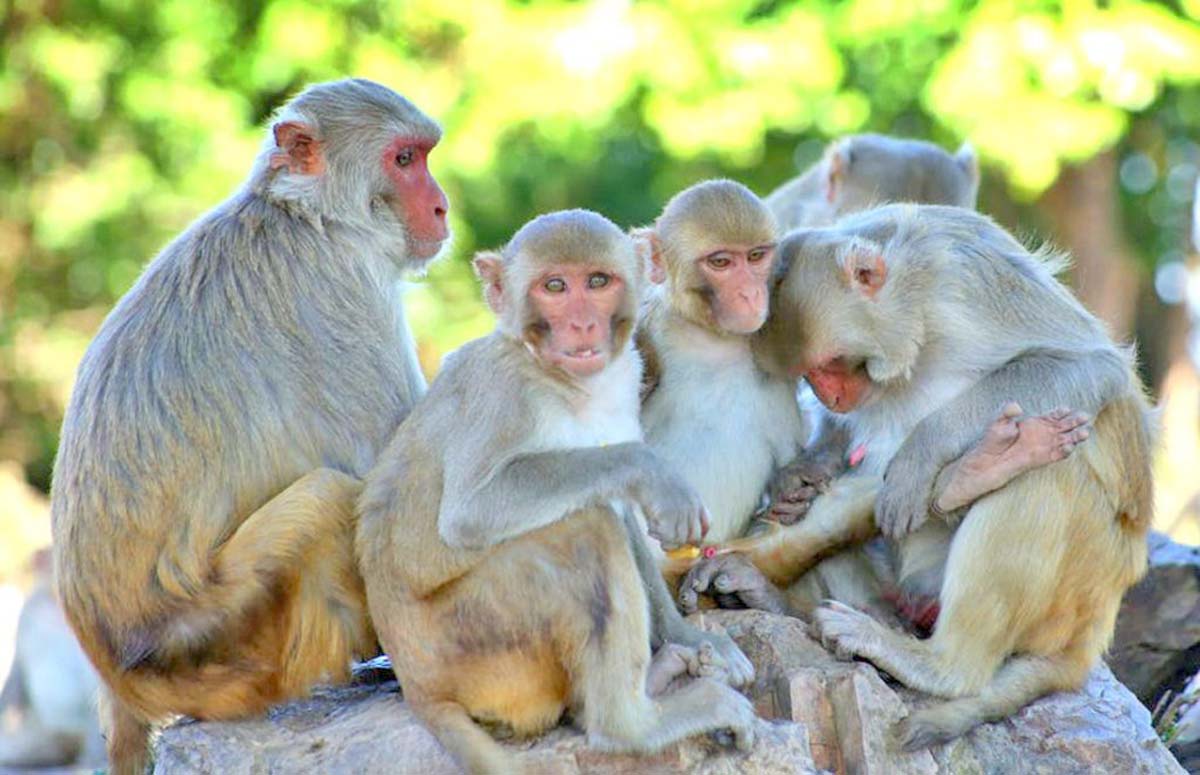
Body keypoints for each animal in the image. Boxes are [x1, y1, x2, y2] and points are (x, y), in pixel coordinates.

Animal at [50, 79, 450, 774]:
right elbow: (390, 477)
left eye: (424, 155)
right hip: (229, 635)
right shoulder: (347, 289)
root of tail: (120, 674)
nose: (442, 206)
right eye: (404, 160)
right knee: (328, 497)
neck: (309, 216)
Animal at [357, 210, 758, 775]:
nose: (582, 324)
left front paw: (691, 636)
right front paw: (656, 475)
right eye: (554, 287)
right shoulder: (502, 392)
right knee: (588, 531)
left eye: (598, 281)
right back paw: (631, 726)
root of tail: (418, 687)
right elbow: (470, 511)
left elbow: (621, 507)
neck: (567, 384)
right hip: (479, 644)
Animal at [693, 204, 1152, 747]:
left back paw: (938, 659)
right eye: (808, 374)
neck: (915, 315)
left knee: (1047, 472)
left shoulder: (963, 276)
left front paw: (919, 455)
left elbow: (1092, 365)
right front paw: (799, 475)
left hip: (1077, 583)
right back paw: (775, 592)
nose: (831, 397)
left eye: (833, 363)